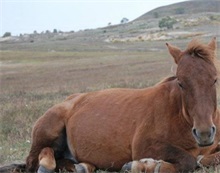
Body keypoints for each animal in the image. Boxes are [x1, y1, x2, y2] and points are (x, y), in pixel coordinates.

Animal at [0, 37, 220, 173]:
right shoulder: (144, 145)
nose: (204, 133)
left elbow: (209, 158)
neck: (178, 114)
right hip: (48, 129)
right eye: (181, 83)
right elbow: (188, 160)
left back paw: (82, 167)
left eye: (215, 79)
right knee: (34, 160)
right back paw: (47, 164)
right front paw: (147, 165)